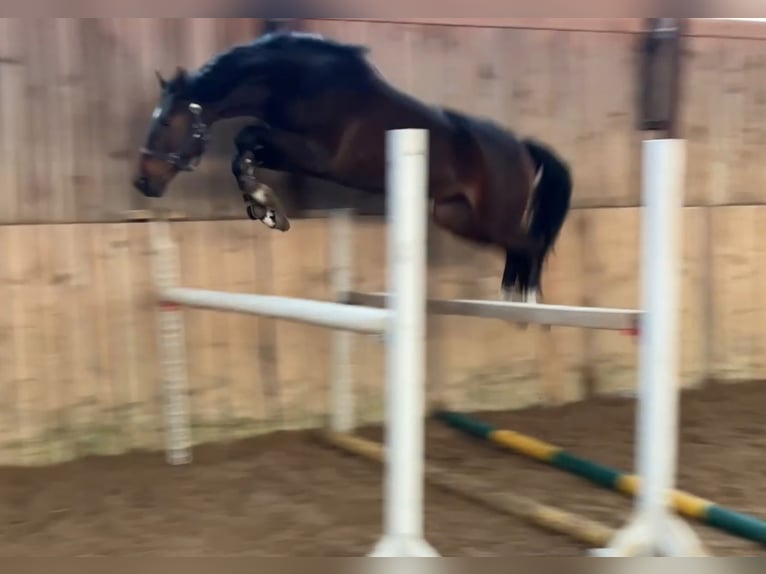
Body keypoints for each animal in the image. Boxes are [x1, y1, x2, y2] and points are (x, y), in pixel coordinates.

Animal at [133, 30, 573, 303]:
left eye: (167, 122)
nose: (142, 181)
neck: (298, 81)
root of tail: (521, 147)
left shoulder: (314, 155)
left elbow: (247, 138)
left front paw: (267, 207)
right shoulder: (288, 149)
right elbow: (246, 150)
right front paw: (265, 208)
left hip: (490, 219)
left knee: (530, 243)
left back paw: (527, 300)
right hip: (456, 217)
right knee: (520, 246)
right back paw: (513, 298)